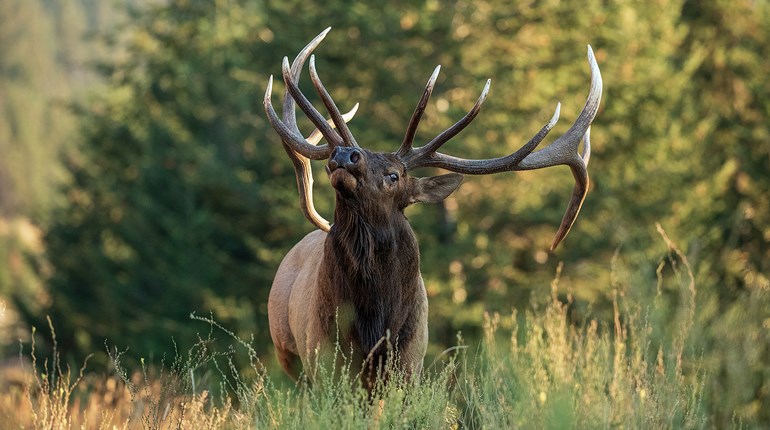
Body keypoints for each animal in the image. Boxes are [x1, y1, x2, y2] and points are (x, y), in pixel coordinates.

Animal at [264, 28, 602, 390]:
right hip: (290, 356)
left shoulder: (411, 360)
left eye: (394, 175)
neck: (374, 325)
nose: (344, 154)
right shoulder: (324, 356)